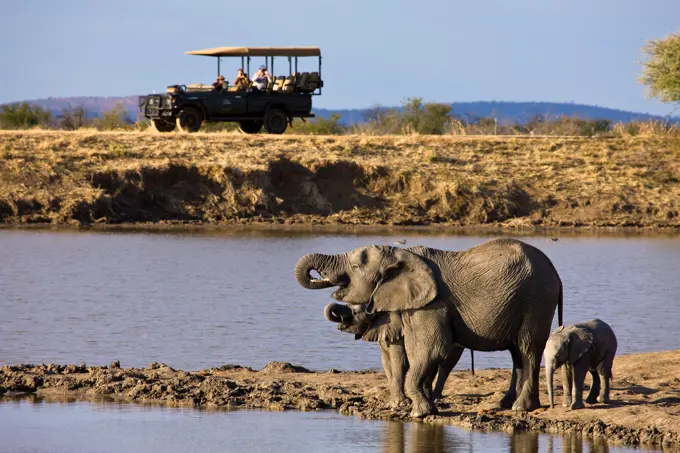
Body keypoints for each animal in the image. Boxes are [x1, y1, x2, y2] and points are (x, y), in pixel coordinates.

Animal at [294, 238, 560, 414]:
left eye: (356, 267)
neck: (400, 253)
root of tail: (556, 274)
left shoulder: (433, 303)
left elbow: (432, 349)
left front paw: (419, 412)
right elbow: (415, 352)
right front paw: (427, 407)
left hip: (537, 299)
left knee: (527, 349)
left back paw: (520, 408)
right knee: (517, 353)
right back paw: (506, 404)